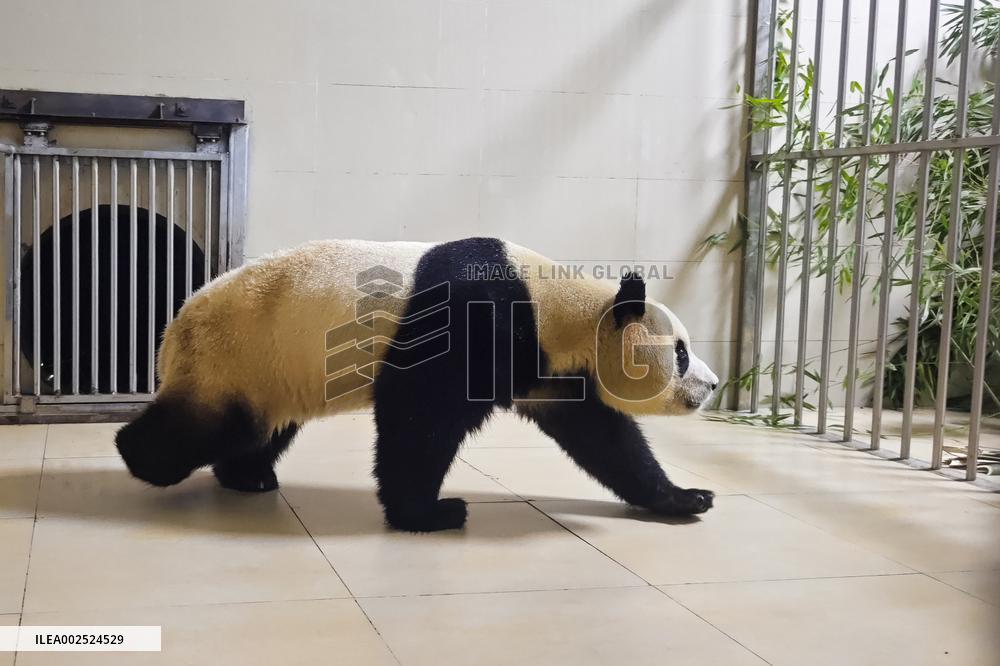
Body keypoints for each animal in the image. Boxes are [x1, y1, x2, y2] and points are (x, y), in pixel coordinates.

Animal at [115, 237, 719, 532]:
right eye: (681, 353)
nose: (712, 386)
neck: (558, 306)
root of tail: (173, 328)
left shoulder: (547, 367)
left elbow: (604, 438)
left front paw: (685, 498)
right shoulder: (476, 320)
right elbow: (421, 419)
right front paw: (431, 514)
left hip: (271, 372)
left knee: (258, 430)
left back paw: (249, 476)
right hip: (237, 354)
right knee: (204, 426)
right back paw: (139, 457)